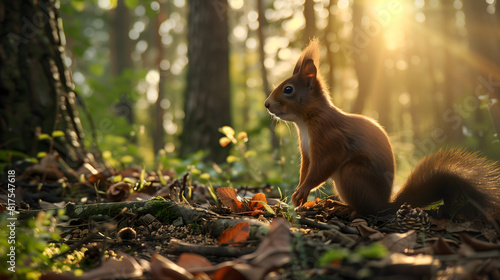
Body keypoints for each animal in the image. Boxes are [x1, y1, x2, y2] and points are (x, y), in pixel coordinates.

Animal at [268, 38, 500, 219]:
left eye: (288, 89)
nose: (266, 104)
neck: (306, 121)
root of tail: (386, 204)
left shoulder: (331, 138)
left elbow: (322, 167)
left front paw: (302, 192)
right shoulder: (307, 151)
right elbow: (306, 168)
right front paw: (298, 192)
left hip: (353, 174)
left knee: (367, 210)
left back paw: (347, 210)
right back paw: (338, 204)